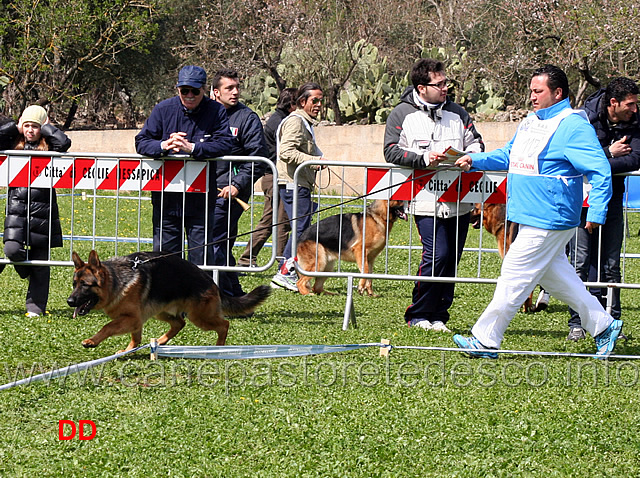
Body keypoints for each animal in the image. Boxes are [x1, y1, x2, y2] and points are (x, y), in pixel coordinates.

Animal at [67, 250, 270, 352]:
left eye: (85, 285)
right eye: (74, 284)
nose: (69, 301)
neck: (116, 280)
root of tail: (210, 280)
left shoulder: (131, 319)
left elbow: (107, 327)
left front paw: (92, 341)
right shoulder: (135, 320)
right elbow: (136, 338)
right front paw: (128, 350)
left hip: (200, 317)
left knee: (224, 324)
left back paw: (218, 348)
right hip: (161, 312)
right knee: (179, 323)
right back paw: (161, 341)